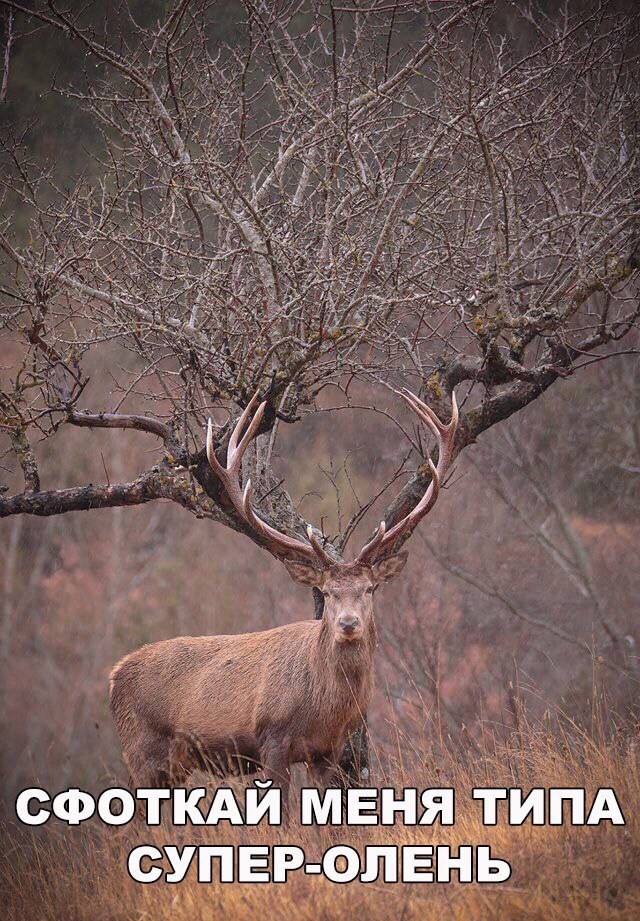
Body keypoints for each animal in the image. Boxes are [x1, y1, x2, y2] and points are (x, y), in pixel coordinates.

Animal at [111, 384, 460, 808]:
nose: (348, 623)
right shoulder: (271, 740)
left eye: (369, 588)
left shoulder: (328, 750)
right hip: (141, 750)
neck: (324, 709)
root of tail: (113, 676)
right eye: (326, 592)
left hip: (170, 767)